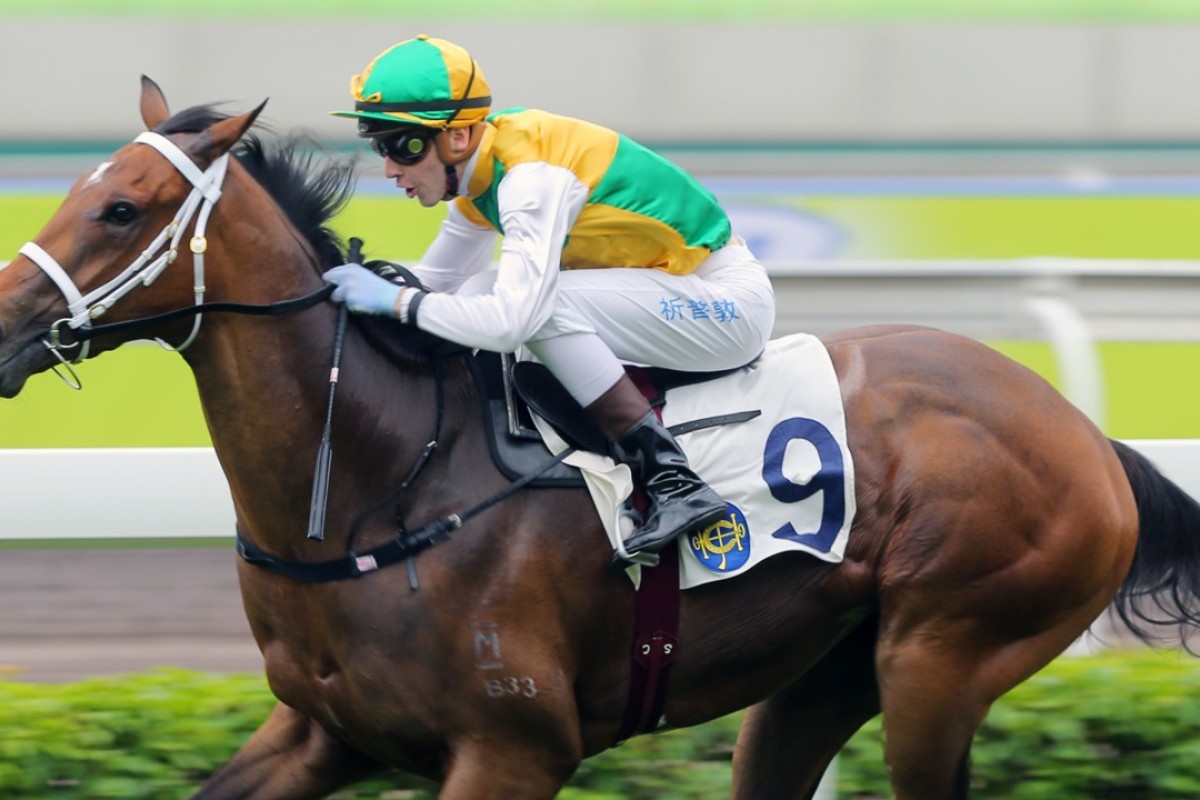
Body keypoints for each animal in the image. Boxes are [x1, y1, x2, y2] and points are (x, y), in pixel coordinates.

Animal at [2, 76, 1200, 800]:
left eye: (121, 209)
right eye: (73, 190)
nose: (5, 320)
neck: (379, 482)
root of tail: (1089, 437)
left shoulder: (514, 749)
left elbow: (523, 298)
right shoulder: (322, 728)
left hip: (945, 652)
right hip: (826, 672)